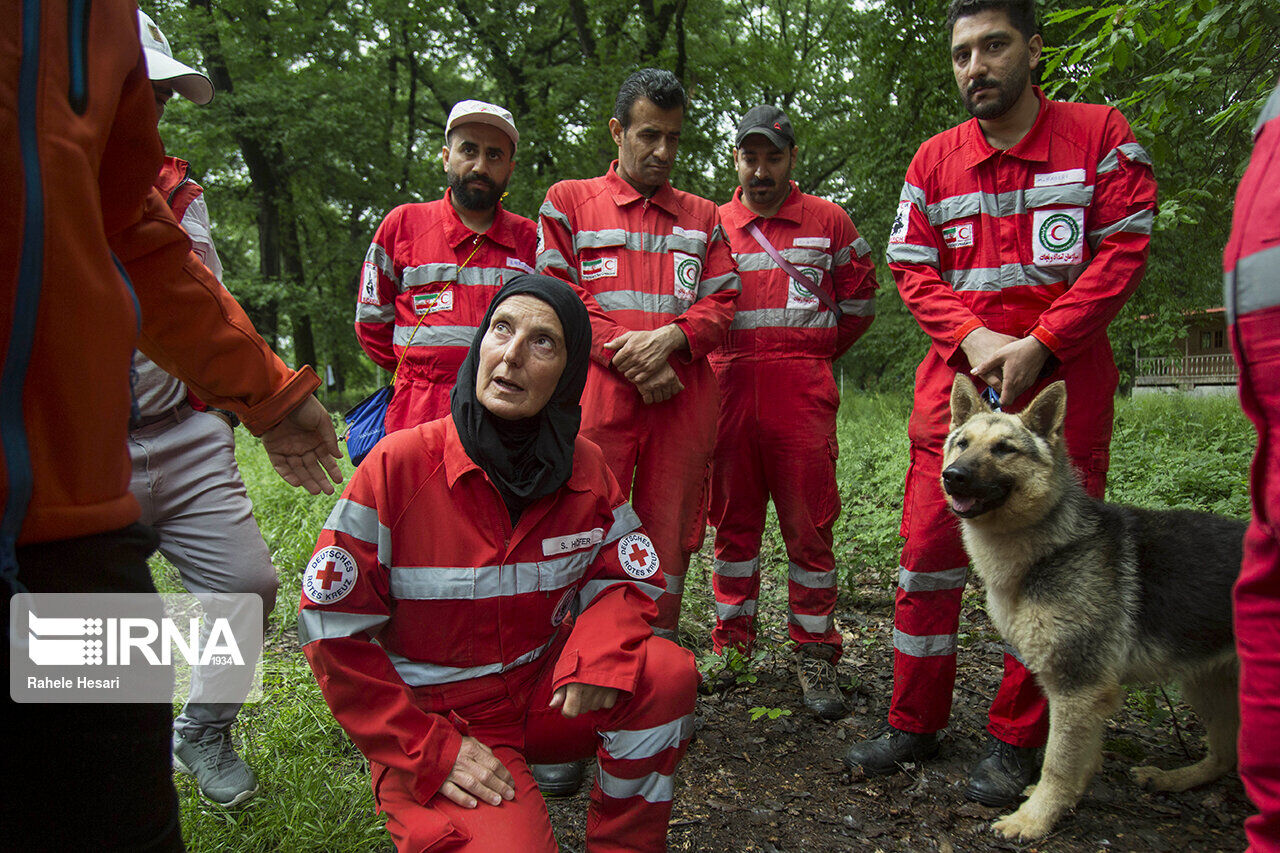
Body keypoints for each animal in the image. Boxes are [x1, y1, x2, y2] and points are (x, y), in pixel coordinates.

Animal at [942, 376, 1239, 835]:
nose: (952, 476)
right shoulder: (1085, 694)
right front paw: (1065, 801)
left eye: (1004, 449)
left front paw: (1035, 819)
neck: (1052, 546)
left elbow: (1058, 762)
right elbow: (1081, 759)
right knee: (1225, 755)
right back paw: (1171, 779)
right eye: (962, 443)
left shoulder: (1078, 687)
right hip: (1204, 682)